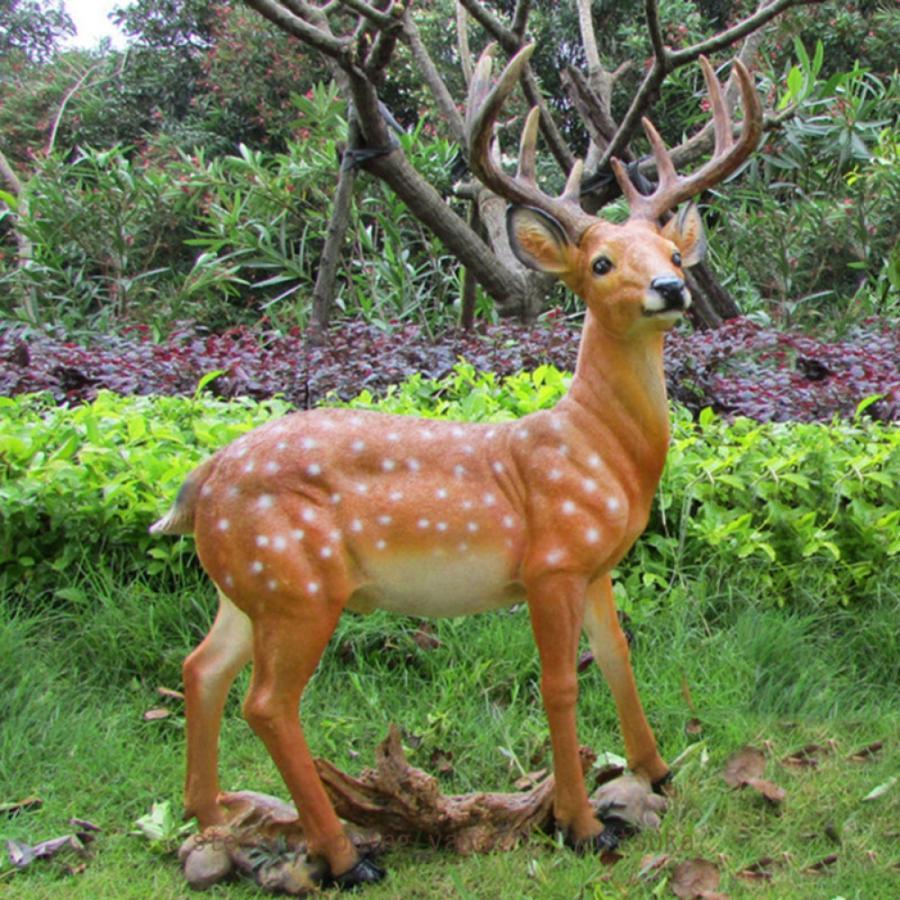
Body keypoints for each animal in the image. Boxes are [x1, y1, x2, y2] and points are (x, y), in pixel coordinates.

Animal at [151, 44, 762, 888]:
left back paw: (212, 816)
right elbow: (560, 683)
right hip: (299, 584)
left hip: (251, 584)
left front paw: (659, 770)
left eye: (673, 253)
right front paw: (580, 824)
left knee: (201, 667)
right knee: (267, 702)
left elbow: (618, 658)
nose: (672, 288)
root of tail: (200, 482)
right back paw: (344, 856)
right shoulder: (550, 561)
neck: (598, 451)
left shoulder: (597, 564)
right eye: (603, 263)